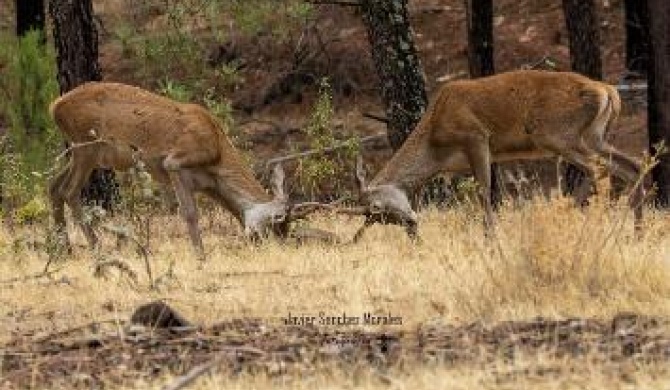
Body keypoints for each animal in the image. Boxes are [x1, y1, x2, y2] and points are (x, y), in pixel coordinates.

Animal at [46, 81, 322, 258]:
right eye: (277, 225)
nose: (273, 249)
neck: (217, 155)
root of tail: (55, 106)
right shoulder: (175, 162)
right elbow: (190, 213)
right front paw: (200, 255)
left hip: (80, 152)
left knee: (54, 185)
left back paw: (65, 249)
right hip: (86, 146)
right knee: (69, 190)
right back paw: (95, 247)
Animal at [346, 70, 644, 241]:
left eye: (377, 208)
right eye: (382, 219)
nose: (411, 223)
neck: (437, 147)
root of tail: (609, 92)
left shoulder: (476, 137)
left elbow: (484, 192)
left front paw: (490, 239)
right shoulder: (484, 158)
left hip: (556, 133)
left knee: (599, 169)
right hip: (594, 136)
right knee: (633, 165)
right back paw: (633, 232)